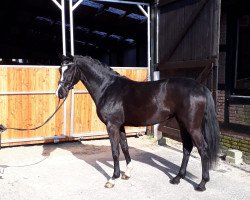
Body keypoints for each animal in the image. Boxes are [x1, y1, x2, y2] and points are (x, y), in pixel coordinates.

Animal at [56, 54, 219, 191]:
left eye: (69, 69)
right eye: (60, 69)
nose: (60, 92)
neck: (108, 88)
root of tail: (200, 87)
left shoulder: (112, 126)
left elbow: (115, 151)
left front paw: (113, 178)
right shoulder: (120, 126)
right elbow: (125, 147)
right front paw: (127, 173)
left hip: (192, 127)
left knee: (202, 149)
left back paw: (202, 184)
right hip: (182, 124)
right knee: (187, 148)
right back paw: (177, 178)